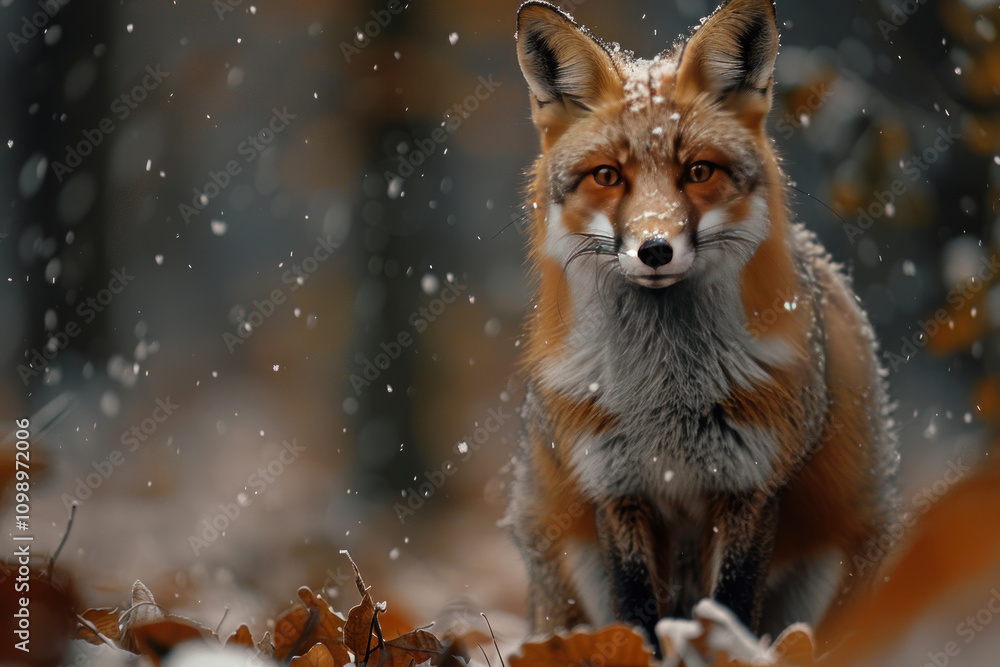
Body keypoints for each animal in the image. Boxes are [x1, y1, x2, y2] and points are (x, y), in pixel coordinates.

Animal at [504, 0, 899, 649]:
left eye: (698, 171)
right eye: (607, 176)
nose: (655, 250)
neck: (665, 395)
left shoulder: (751, 485)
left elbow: (731, 608)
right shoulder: (616, 487)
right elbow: (639, 614)